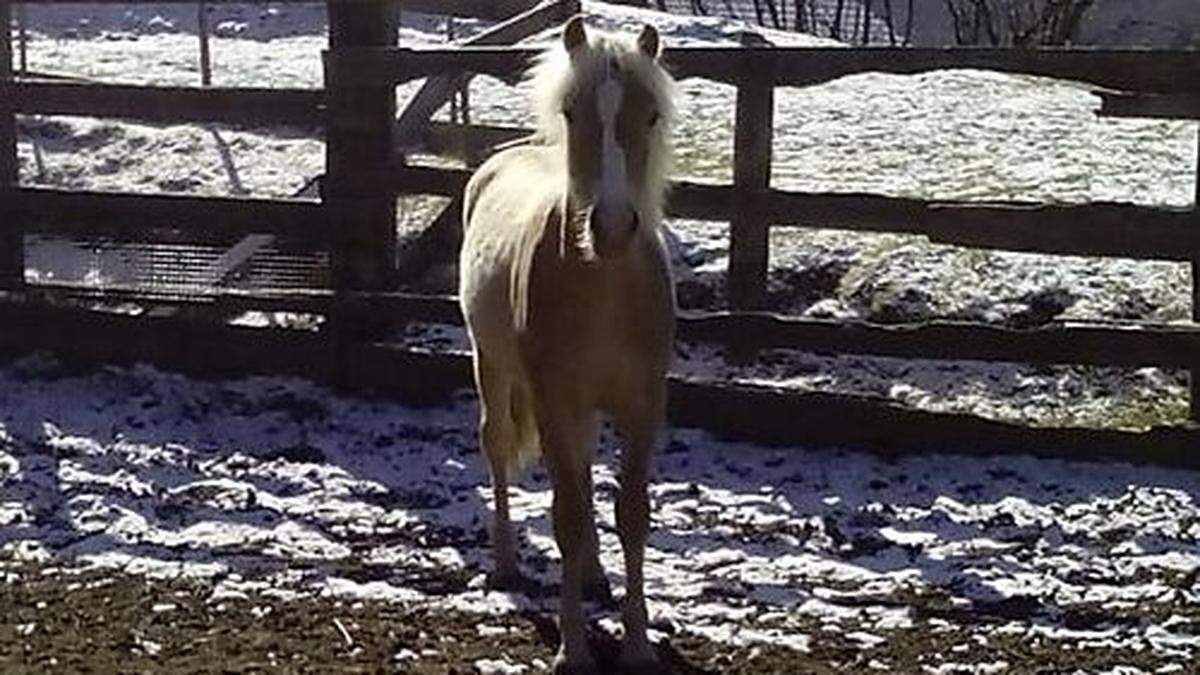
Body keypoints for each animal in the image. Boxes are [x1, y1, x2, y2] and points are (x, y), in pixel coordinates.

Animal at [456, 15, 672, 672]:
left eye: (650, 115)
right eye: (573, 112)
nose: (613, 227)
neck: (604, 286)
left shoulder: (643, 402)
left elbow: (632, 513)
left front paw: (637, 645)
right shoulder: (552, 398)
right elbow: (569, 516)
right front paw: (573, 650)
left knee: (581, 463)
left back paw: (597, 577)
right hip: (493, 367)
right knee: (498, 446)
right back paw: (504, 565)